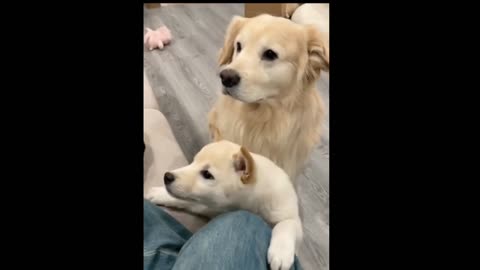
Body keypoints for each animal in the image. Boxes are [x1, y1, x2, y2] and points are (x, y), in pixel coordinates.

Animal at [148, 140, 302, 270]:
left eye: (207, 174)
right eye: (192, 162)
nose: (167, 176)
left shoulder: (288, 213)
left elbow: (286, 224)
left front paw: (281, 252)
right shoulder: (210, 204)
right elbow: (183, 199)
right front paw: (159, 193)